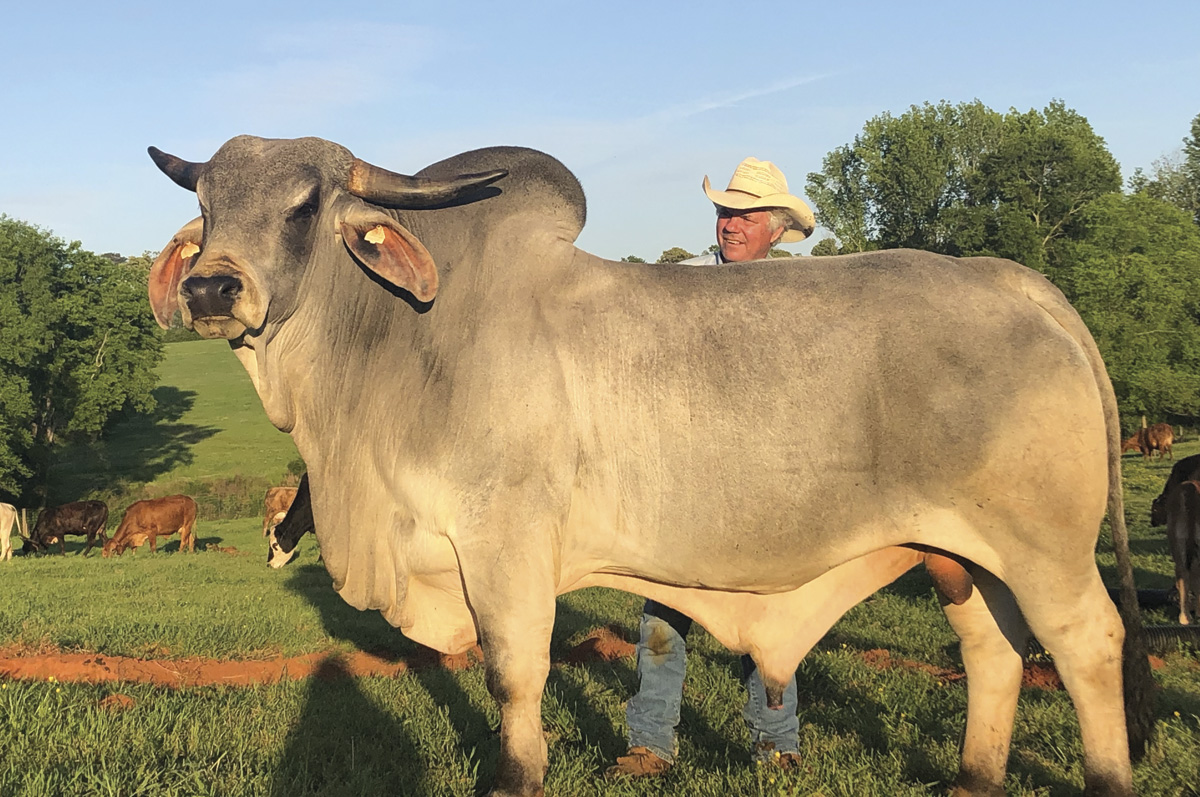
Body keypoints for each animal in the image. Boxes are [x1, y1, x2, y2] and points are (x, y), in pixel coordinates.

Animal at [147, 136, 1149, 796]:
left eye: (305, 204)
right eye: (207, 210)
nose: (210, 286)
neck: (402, 338)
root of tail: (1012, 278)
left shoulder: (506, 544)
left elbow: (514, 671)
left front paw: (516, 776)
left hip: (1046, 552)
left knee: (1088, 646)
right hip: (963, 556)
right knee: (994, 649)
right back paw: (974, 777)